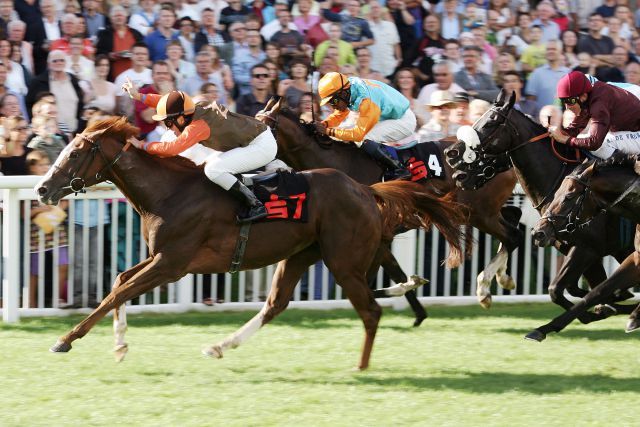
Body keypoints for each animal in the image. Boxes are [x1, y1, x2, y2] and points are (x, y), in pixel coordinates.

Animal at [36, 118, 464, 372]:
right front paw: (120, 345)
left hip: (342, 260)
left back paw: (361, 365)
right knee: (276, 304)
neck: (169, 192)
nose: (42, 189)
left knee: (370, 311)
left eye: (75, 152)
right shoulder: (161, 258)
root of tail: (365, 188)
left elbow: (117, 291)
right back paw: (220, 346)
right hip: (301, 254)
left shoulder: (172, 263)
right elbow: (119, 282)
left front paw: (64, 340)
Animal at [258, 98, 524, 310]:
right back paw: (504, 277)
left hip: (478, 212)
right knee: (514, 218)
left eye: (263, 127)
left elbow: (370, 283)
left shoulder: (378, 234)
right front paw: (411, 284)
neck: (338, 161)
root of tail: (504, 158)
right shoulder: (380, 236)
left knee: (512, 235)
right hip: (485, 210)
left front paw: (411, 285)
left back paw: (485, 289)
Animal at [444, 89, 636, 328]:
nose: (451, 153)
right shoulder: (578, 250)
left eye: (490, 122)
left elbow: (564, 291)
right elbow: (577, 290)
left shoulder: (587, 249)